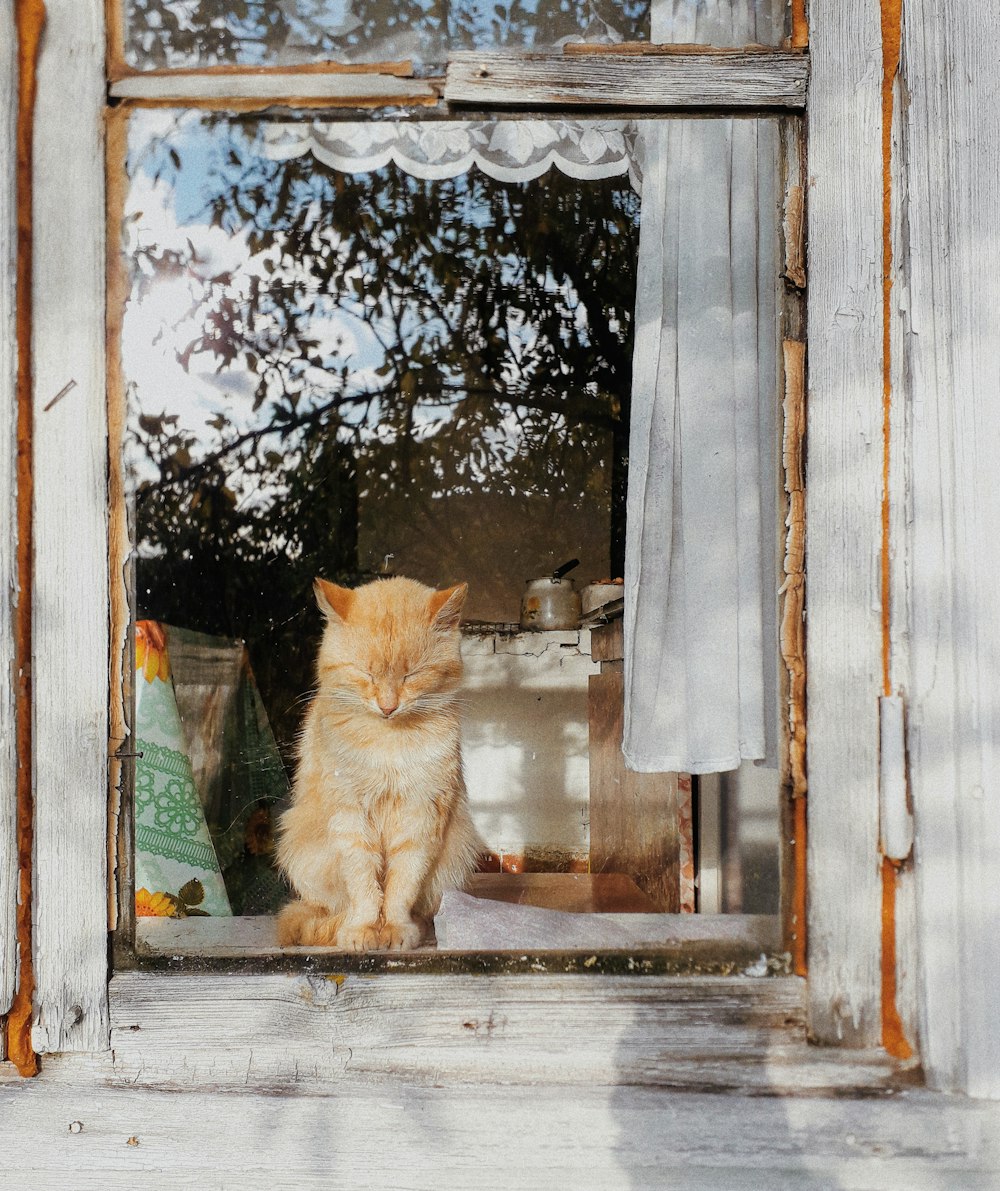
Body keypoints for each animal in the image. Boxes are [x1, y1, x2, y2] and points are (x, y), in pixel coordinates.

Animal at [275, 576, 483, 948]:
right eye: (367, 674)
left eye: (411, 675)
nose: (388, 707)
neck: (388, 740)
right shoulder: (350, 817)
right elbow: (364, 885)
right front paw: (362, 930)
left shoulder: (421, 814)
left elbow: (402, 885)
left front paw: (397, 929)